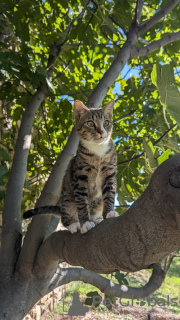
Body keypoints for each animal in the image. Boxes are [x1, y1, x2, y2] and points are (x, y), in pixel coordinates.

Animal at [23, 101, 119, 234]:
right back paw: (74, 224)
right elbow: (82, 203)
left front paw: (109, 213)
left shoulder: (109, 173)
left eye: (106, 122)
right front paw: (85, 223)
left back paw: (96, 220)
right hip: (67, 201)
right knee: (66, 216)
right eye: (90, 123)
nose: (101, 132)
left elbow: (109, 194)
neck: (98, 151)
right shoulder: (79, 177)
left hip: (97, 202)